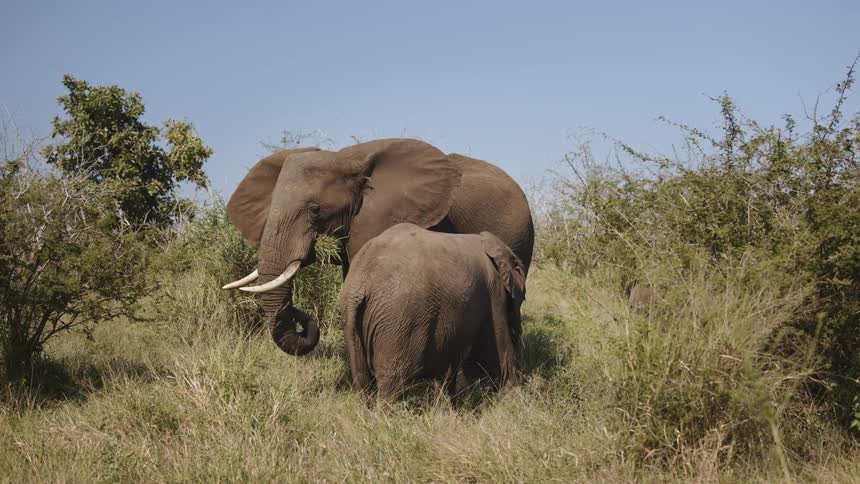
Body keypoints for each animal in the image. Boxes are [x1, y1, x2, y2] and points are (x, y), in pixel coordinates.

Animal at [340, 223, 526, 401]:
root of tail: (360, 282)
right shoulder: (493, 293)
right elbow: (497, 350)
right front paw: (514, 398)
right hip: (397, 323)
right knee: (392, 384)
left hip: (355, 323)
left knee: (363, 381)